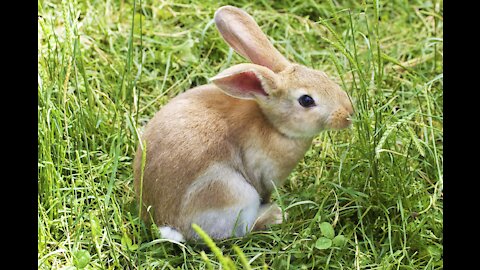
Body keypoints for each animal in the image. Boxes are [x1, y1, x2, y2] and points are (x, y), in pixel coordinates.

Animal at [133, 4, 354, 240]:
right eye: (306, 100)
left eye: (322, 75)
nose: (348, 113)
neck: (273, 125)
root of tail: (166, 223)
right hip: (232, 193)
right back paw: (274, 216)